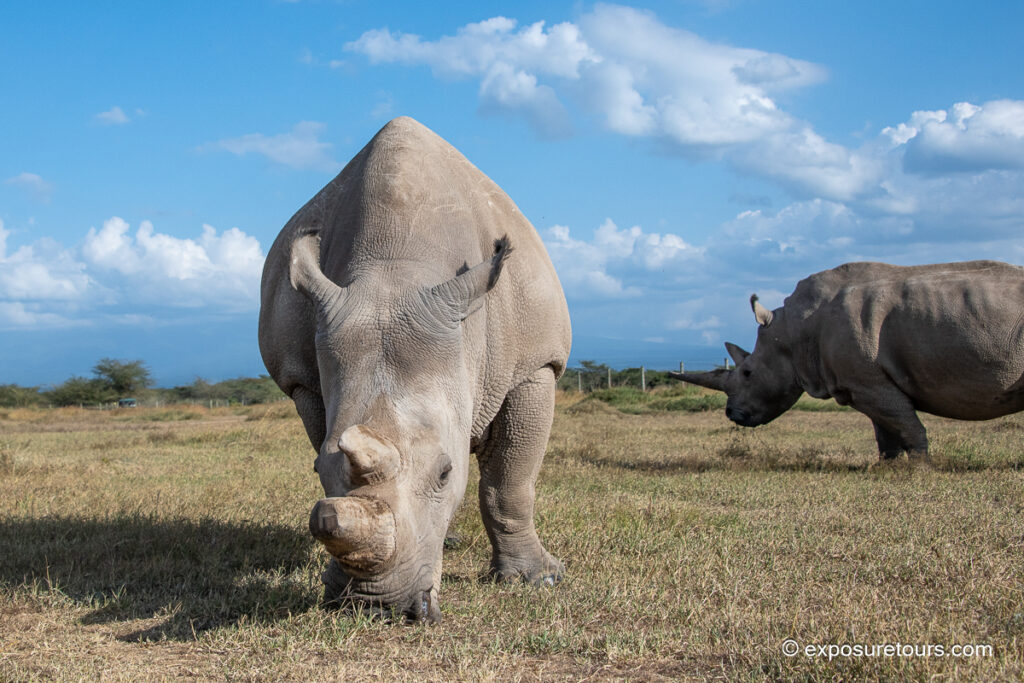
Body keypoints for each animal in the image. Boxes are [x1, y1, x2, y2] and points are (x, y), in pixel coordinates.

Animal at [258, 117, 571, 622]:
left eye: (445, 472)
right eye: (318, 468)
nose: (375, 607)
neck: (396, 266)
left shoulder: (536, 365)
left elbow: (509, 482)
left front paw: (537, 580)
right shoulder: (301, 378)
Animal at [672, 260, 1024, 461]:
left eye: (747, 372)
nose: (732, 414)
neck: (795, 331)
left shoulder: (870, 383)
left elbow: (906, 425)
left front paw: (922, 468)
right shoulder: (866, 383)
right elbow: (886, 428)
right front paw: (888, 466)